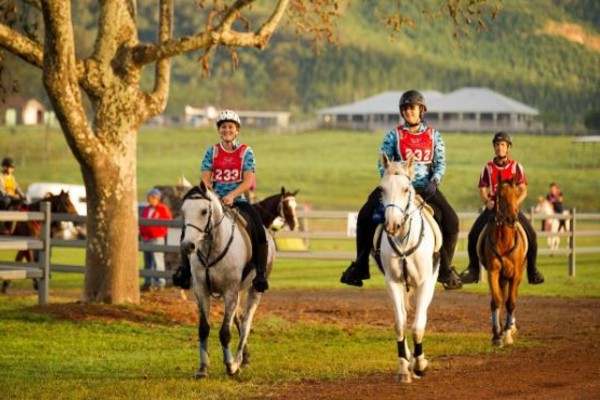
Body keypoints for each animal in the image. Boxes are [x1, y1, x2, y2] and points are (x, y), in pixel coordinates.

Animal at [179, 183, 276, 380]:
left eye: (203, 211)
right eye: (183, 211)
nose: (188, 246)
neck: (213, 247)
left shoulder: (230, 292)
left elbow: (225, 332)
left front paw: (230, 366)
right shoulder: (201, 291)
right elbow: (204, 328)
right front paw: (202, 368)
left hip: (254, 289)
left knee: (246, 323)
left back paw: (238, 360)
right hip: (240, 291)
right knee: (239, 319)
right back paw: (244, 358)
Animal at [380, 154, 440, 384]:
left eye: (406, 189)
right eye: (382, 189)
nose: (391, 225)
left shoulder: (425, 284)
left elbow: (417, 326)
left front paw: (421, 364)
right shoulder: (393, 283)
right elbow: (400, 324)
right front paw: (404, 368)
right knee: (404, 316)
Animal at [480, 176, 528, 346]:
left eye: (516, 194)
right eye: (500, 196)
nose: (512, 219)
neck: (504, 241)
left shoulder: (515, 274)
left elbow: (511, 302)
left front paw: (507, 333)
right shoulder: (493, 272)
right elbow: (496, 300)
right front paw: (497, 335)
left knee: (510, 299)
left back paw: (510, 327)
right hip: (502, 277)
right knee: (502, 297)